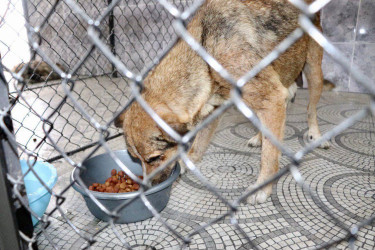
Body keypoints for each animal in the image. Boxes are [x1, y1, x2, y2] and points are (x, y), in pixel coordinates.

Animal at [118, 0, 332, 205]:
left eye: (154, 158)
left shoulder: (272, 97)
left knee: (310, 109)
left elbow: (269, 157)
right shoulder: (214, 110)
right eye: (136, 159)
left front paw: (262, 188)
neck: (205, 54)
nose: (146, 188)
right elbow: (197, 146)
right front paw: (186, 163)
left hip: (313, 73)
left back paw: (315, 135)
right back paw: (259, 137)